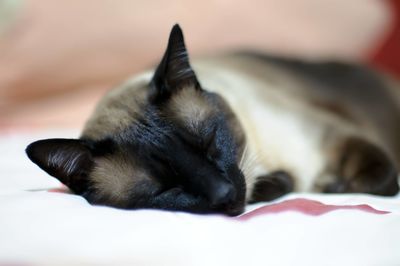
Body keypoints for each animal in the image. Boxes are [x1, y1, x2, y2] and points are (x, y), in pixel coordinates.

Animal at [25, 24, 400, 216]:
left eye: (208, 143)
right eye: (166, 189)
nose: (224, 192)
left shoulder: (329, 134)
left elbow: (383, 178)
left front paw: (333, 186)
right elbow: (279, 184)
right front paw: (319, 185)